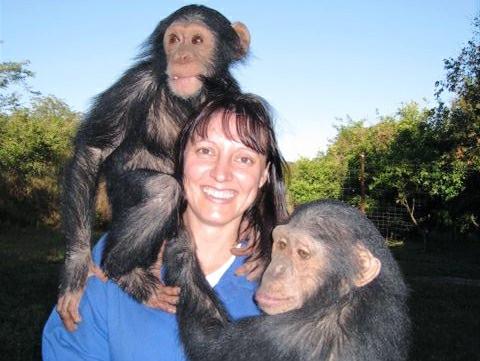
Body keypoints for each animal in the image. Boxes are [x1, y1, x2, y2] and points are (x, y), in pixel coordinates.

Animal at [165, 198, 408, 360]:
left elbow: (210, 343)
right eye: (281, 245)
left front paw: (183, 245)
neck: (343, 299)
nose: (276, 270)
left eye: (302, 253)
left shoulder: (284, 337)